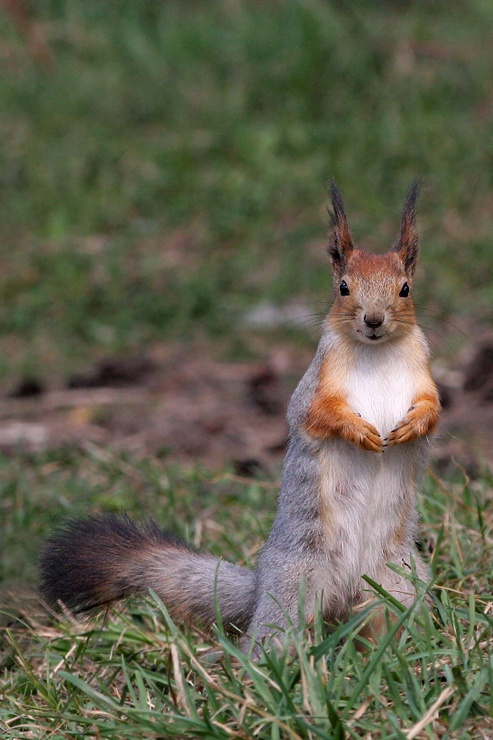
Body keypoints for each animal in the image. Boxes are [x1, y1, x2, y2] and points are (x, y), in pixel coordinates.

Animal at [40, 181, 440, 653]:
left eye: (405, 289)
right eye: (343, 287)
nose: (374, 320)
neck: (376, 353)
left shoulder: (424, 375)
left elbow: (434, 409)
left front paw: (413, 426)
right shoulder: (315, 387)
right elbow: (315, 415)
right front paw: (359, 431)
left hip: (398, 584)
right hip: (293, 589)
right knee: (274, 634)